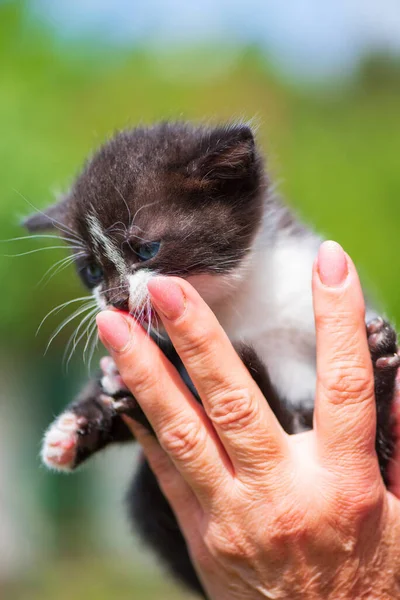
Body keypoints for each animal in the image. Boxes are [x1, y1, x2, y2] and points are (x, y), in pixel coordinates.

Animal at [24, 120, 400, 596]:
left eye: (146, 250)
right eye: (91, 270)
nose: (115, 300)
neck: (230, 305)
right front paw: (76, 425)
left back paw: (377, 361)